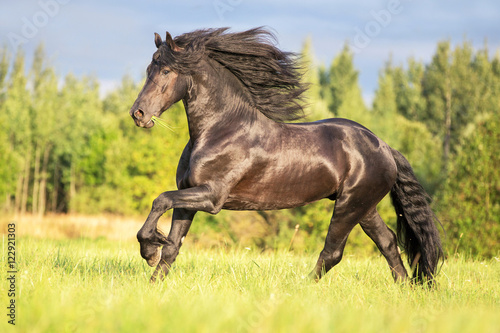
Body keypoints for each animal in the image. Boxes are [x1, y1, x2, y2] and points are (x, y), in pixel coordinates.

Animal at [129, 27, 442, 282]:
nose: (138, 114)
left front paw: (149, 250)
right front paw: (154, 276)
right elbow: (172, 246)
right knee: (387, 242)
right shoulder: (188, 197)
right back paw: (405, 289)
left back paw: (301, 288)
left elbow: (160, 200)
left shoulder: (211, 196)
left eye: (166, 71)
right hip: (365, 207)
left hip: (349, 205)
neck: (220, 130)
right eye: (148, 69)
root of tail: (384, 146)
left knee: (333, 252)